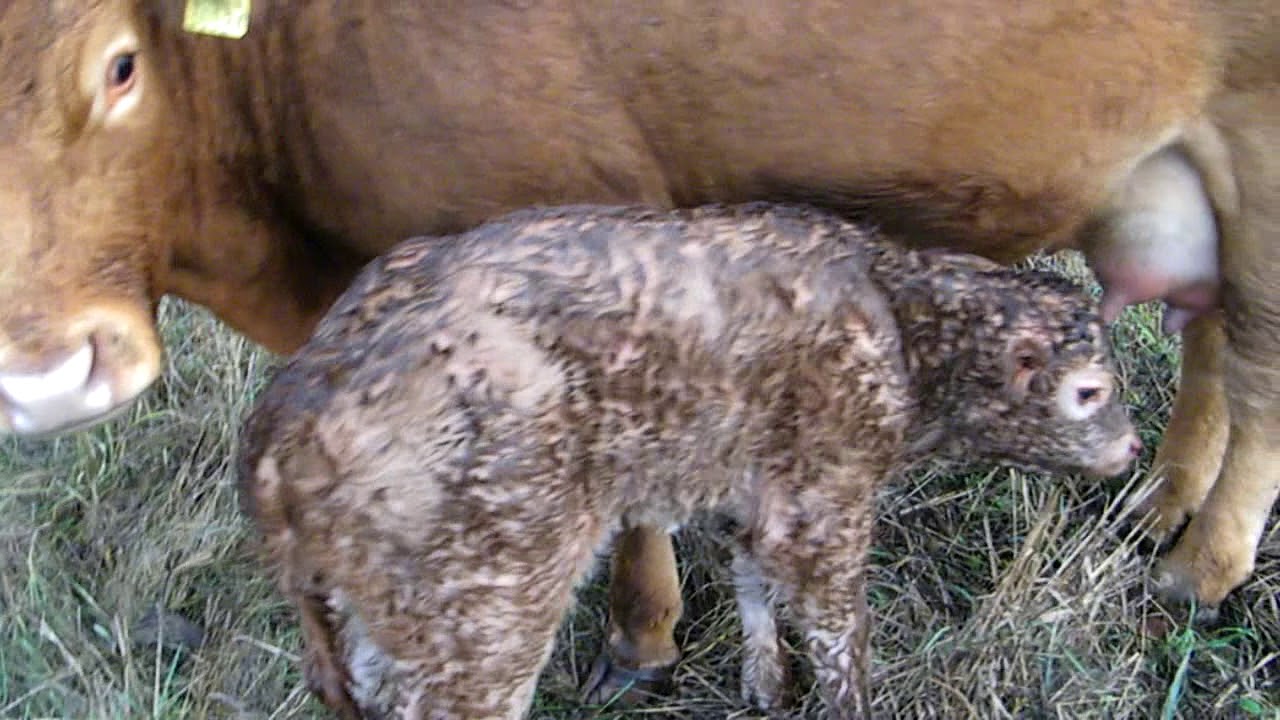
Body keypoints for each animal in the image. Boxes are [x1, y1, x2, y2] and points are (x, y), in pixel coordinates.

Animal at [0, 0, 1275, 698]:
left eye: (118, 66)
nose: (44, 380)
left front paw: (640, 631)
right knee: (1208, 337)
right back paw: (1158, 496)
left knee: (1256, 372)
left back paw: (1198, 567)